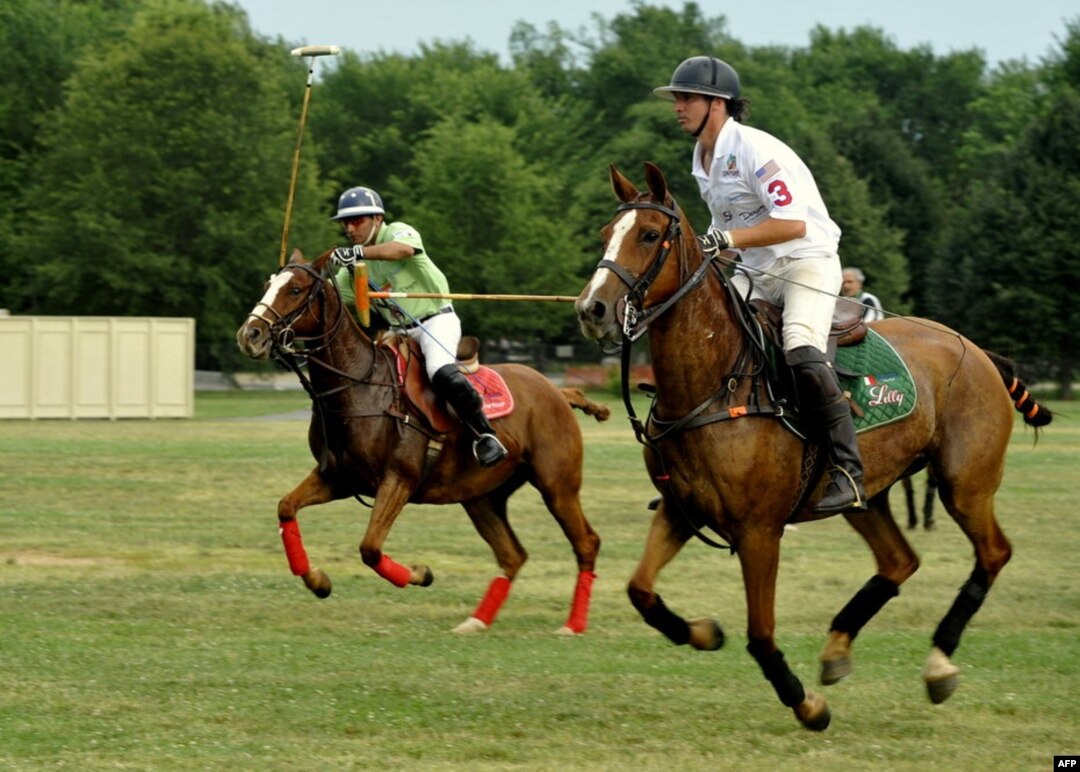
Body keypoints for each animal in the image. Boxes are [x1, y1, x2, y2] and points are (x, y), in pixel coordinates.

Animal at [237, 250, 609, 639]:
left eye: (295, 289)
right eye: (268, 284)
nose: (250, 334)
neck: (359, 386)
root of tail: (558, 391)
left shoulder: (399, 479)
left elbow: (370, 548)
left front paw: (421, 573)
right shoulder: (338, 478)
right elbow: (286, 507)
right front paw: (318, 581)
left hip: (557, 485)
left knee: (586, 542)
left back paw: (572, 625)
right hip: (481, 497)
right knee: (512, 555)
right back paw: (475, 621)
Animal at [578, 163, 1049, 729]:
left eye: (649, 235)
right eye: (606, 234)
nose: (592, 309)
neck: (715, 383)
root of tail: (977, 350)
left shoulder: (759, 530)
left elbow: (760, 635)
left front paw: (806, 705)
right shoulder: (680, 509)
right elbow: (641, 591)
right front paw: (705, 632)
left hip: (965, 482)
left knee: (993, 553)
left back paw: (938, 663)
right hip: (868, 493)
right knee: (900, 561)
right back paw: (837, 647)